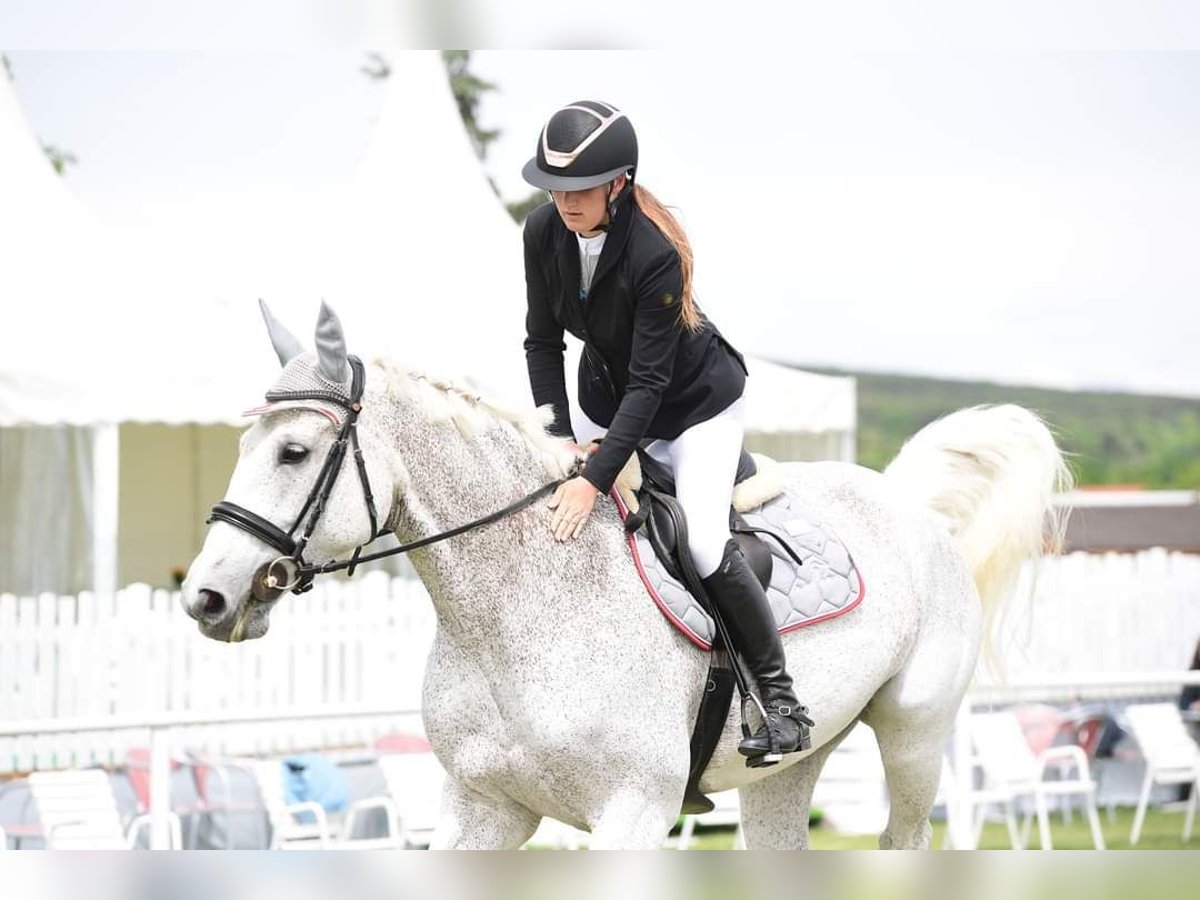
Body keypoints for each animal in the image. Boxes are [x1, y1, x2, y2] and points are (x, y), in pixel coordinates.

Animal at [184, 307, 1070, 849]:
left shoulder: (632, 812)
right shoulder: (483, 807)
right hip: (792, 772)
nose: (207, 597)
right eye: (243, 444)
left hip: (915, 734)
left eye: (293, 451)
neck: (513, 610)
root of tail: (908, 505)